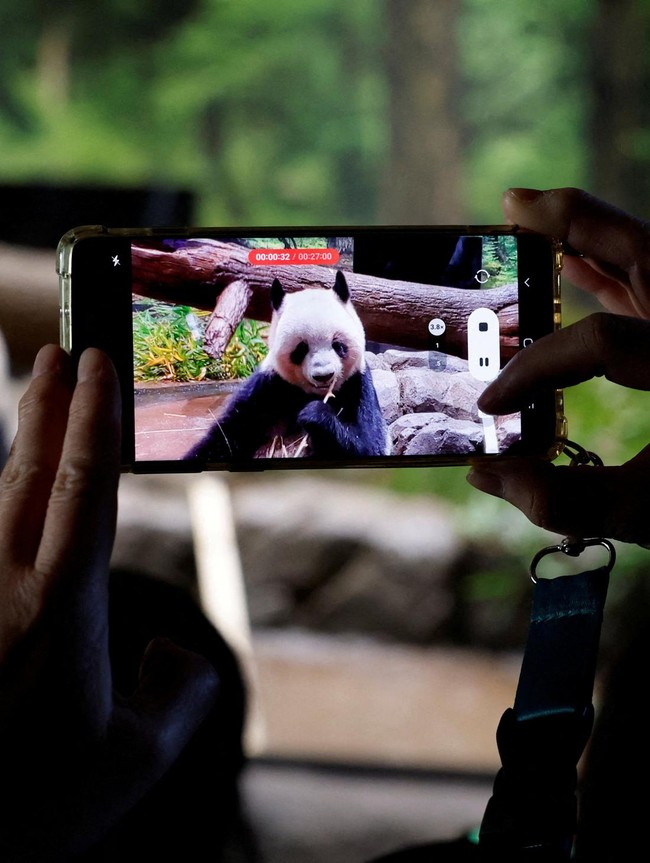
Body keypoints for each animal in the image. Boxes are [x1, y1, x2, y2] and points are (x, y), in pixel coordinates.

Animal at [186, 270, 390, 463]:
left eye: (338, 345)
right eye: (301, 348)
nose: (324, 375)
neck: (312, 394)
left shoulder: (357, 386)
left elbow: (369, 443)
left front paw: (315, 415)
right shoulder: (268, 387)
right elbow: (227, 436)